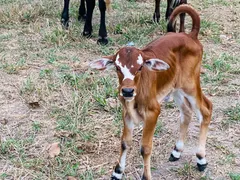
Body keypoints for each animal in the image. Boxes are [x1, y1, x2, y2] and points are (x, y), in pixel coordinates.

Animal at [89, 4, 212, 180]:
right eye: (117, 67)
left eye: (140, 67)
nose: (127, 91)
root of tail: (190, 35)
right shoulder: (127, 113)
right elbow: (125, 142)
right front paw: (117, 171)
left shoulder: (153, 112)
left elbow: (145, 148)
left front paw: (145, 176)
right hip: (175, 88)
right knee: (186, 113)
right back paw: (177, 151)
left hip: (190, 84)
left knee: (206, 110)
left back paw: (201, 158)